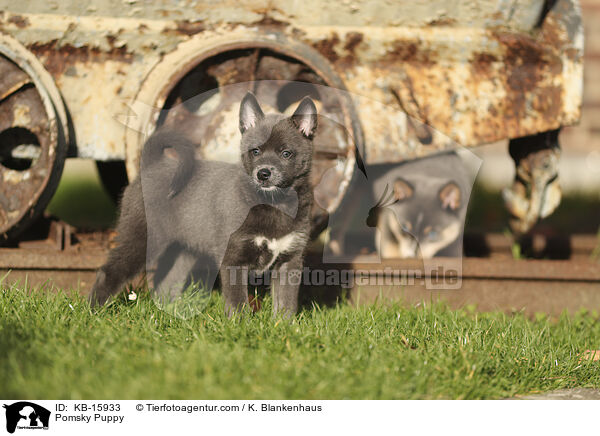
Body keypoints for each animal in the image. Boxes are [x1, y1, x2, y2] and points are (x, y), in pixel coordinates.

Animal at [89, 93, 318, 316]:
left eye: (286, 153)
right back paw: (94, 310)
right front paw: (241, 325)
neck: (273, 204)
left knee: (167, 282)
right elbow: (238, 302)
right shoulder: (233, 258)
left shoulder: (289, 260)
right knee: (109, 272)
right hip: (142, 236)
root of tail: (152, 166)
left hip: (184, 249)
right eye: (255, 151)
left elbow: (286, 304)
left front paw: (284, 325)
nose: (263, 174)